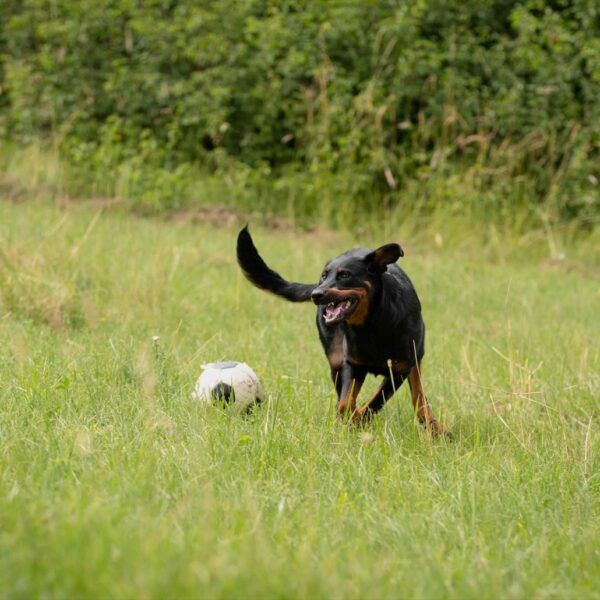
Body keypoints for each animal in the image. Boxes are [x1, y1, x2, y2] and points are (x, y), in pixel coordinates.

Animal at [237, 225, 448, 436]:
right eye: (324, 276)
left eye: (345, 275)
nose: (316, 294)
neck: (371, 325)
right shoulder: (352, 365)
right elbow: (345, 403)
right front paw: (352, 420)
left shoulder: (399, 370)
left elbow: (377, 400)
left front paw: (360, 419)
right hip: (336, 358)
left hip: (413, 359)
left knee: (418, 392)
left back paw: (433, 425)